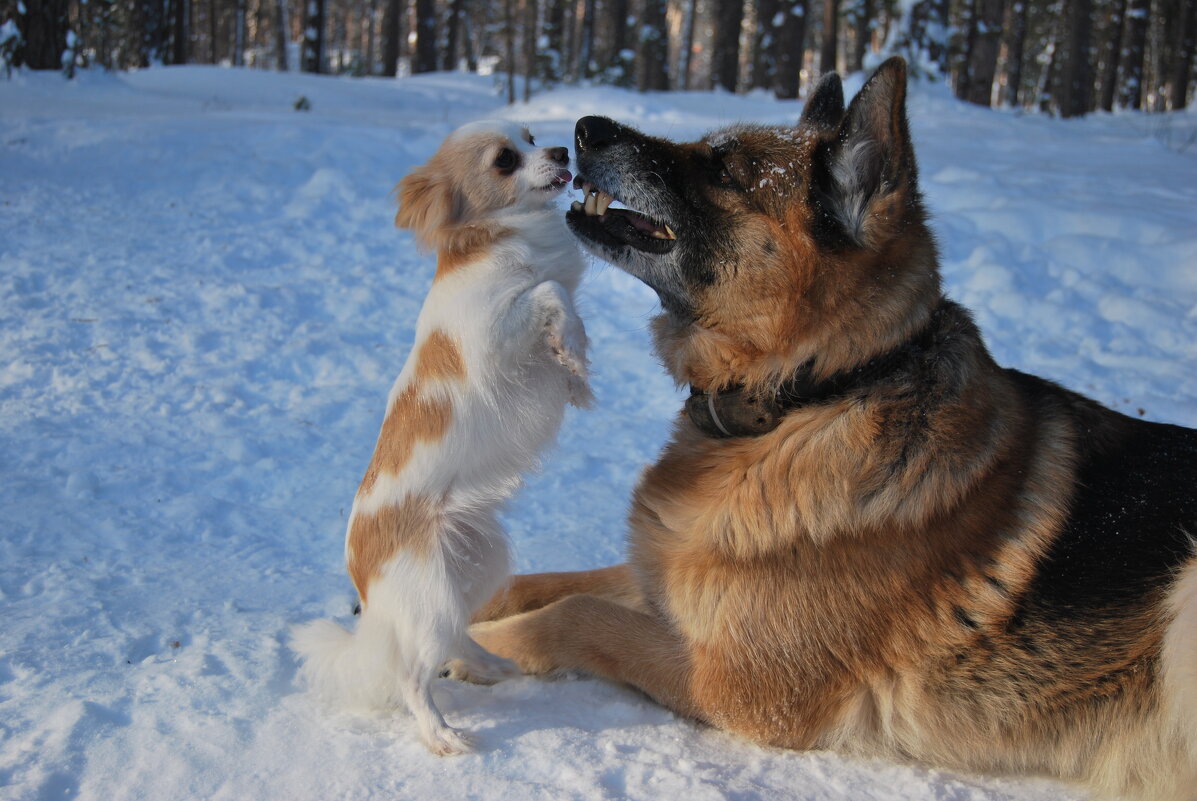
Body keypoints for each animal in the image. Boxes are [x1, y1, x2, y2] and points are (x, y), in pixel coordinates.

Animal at [290, 122, 588, 751]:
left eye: (531, 136)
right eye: (505, 161)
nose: (560, 150)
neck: (504, 244)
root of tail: (368, 592)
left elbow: (560, 303)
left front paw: (577, 373)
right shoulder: (494, 338)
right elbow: (552, 293)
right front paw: (571, 350)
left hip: (478, 567)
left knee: (457, 635)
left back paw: (490, 666)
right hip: (428, 600)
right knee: (412, 674)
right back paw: (442, 736)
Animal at [469, 59, 1197, 795]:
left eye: (724, 168)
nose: (585, 129)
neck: (815, 392)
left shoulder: (735, 679)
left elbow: (573, 613)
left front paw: (467, 647)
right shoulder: (674, 580)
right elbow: (537, 584)